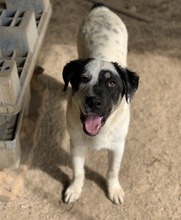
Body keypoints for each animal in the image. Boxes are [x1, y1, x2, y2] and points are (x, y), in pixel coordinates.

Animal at [61, 3, 139, 205]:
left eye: (112, 83)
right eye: (83, 79)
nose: (94, 101)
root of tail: (101, 7)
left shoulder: (118, 146)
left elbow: (113, 171)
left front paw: (114, 190)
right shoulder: (76, 144)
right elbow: (78, 171)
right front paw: (75, 189)